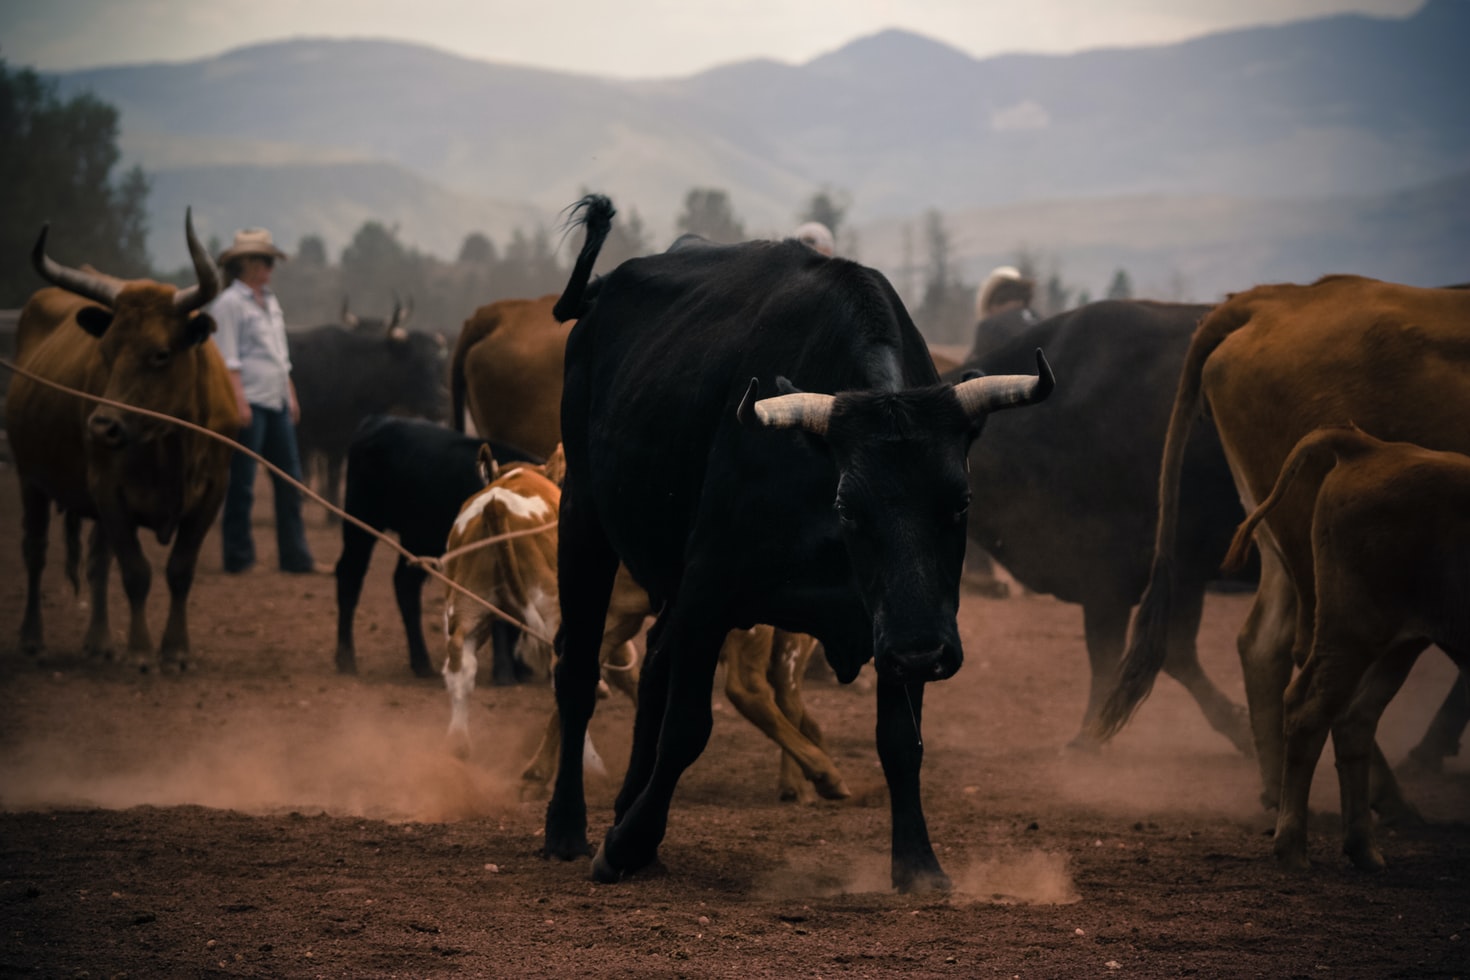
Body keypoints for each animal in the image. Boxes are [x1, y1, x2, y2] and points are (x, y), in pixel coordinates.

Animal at [7, 210, 239, 669]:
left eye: (161, 354)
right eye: (107, 350)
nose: (101, 427)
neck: (173, 443)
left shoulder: (212, 493)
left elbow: (179, 570)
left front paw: (176, 650)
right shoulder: (108, 489)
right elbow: (136, 573)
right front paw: (141, 652)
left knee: (98, 561)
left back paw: (99, 642)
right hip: (29, 477)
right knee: (36, 551)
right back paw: (32, 638)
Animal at [543, 195, 1058, 893]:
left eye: (961, 502)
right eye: (847, 506)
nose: (925, 653)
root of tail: (600, 294)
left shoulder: (901, 619)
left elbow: (902, 741)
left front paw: (918, 864)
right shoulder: (710, 593)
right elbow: (687, 728)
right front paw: (622, 845)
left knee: (650, 668)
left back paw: (627, 815)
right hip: (585, 517)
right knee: (576, 667)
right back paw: (569, 827)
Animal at [1217, 426, 1470, 869]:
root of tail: (1366, 447)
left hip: (1399, 644)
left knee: (1355, 718)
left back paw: (1364, 848)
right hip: (1351, 634)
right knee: (1309, 710)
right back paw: (1293, 847)